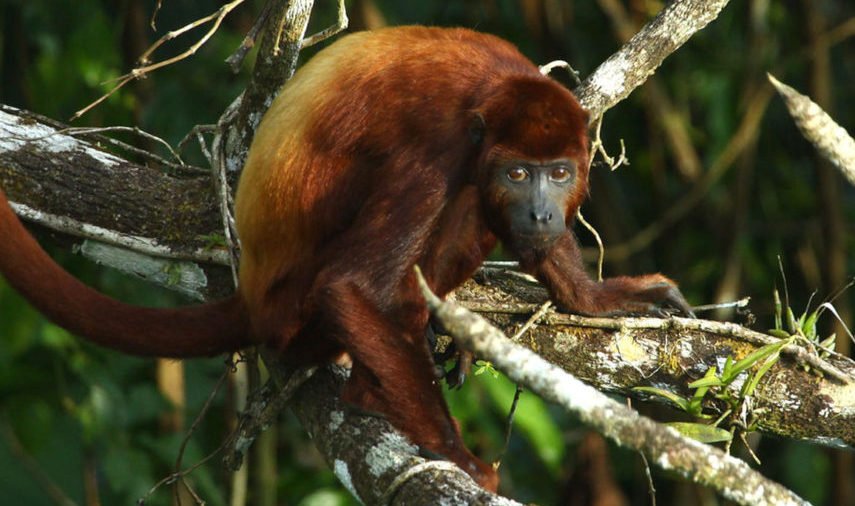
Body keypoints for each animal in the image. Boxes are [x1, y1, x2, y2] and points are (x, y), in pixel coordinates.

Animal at [0, 25, 692, 488]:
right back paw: (369, 386)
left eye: (559, 173)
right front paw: (456, 454)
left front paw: (596, 297)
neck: (494, 94)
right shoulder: (438, 154)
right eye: (518, 174)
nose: (543, 212)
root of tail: (253, 295)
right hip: (294, 310)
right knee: (444, 216)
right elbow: (353, 285)